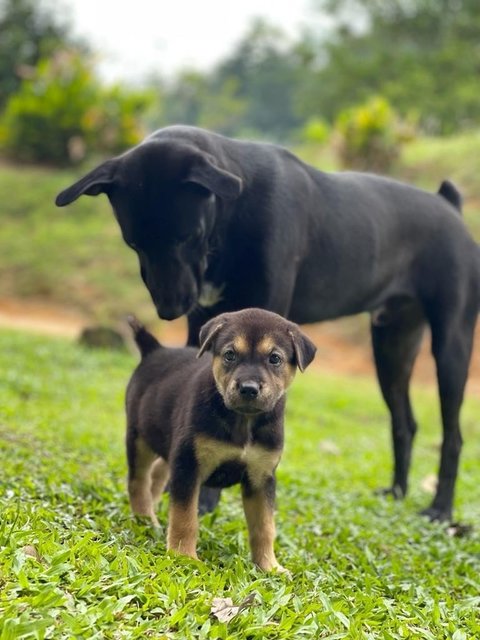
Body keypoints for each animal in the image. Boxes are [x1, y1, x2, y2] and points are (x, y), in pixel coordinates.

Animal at [57, 124, 480, 520]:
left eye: (188, 234)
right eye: (134, 242)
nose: (168, 309)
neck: (232, 214)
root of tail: (450, 207)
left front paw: (206, 499)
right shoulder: (203, 328)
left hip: (451, 346)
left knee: (454, 436)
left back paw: (440, 510)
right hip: (391, 347)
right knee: (405, 423)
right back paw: (396, 492)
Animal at [125, 308, 316, 568]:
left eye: (275, 358)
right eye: (230, 355)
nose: (248, 388)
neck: (243, 420)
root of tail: (154, 349)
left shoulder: (261, 476)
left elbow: (264, 526)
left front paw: (269, 566)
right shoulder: (188, 465)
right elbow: (185, 516)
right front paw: (184, 556)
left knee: (157, 473)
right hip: (139, 438)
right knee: (138, 481)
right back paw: (146, 520)